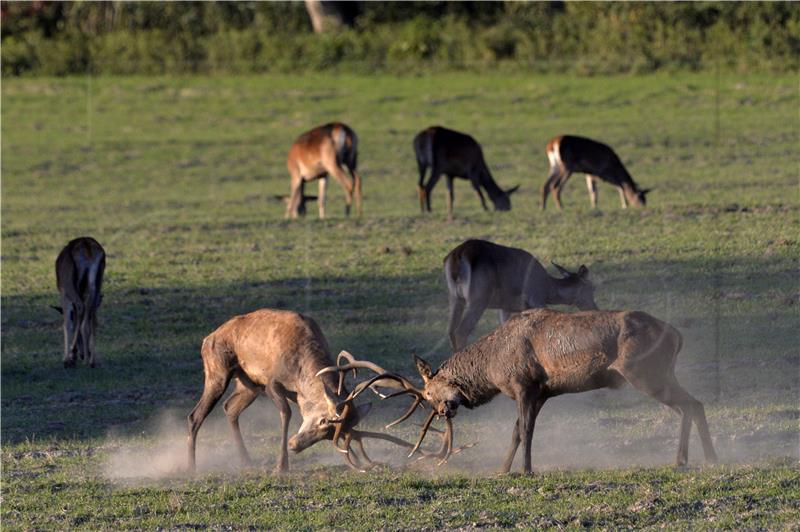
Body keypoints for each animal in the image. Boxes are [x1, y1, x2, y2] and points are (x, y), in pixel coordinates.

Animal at [53, 238, 106, 368]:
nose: (81, 355)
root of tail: (87, 247)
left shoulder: (64, 292)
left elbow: (67, 323)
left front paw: (67, 358)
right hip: (97, 281)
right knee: (92, 316)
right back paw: (91, 361)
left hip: (69, 286)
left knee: (81, 307)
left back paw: (72, 356)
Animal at [186, 308, 444, 474]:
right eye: (323, 421)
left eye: (330, 434)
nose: (295, 445)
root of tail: (207, 338)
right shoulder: (272, 381)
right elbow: (286, 413)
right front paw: (281, 466)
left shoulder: (293, 393)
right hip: (217, 372)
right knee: (195, 415)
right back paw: (191, 467)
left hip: (248, 384)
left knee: (229, 408)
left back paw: (245, 460)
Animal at [356, 308, 720, 474]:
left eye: (429, 394)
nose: (444, 410)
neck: (492, 368)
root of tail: (676, 335)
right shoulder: (541, 392)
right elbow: (517, 431)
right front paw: (502, 470)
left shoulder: (525, 384)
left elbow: (526, 431)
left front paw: (526, 469)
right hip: (659, 374)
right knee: (693, 405)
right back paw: (696, 458)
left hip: (645, 373)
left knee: (691, 404)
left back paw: (697, 457)